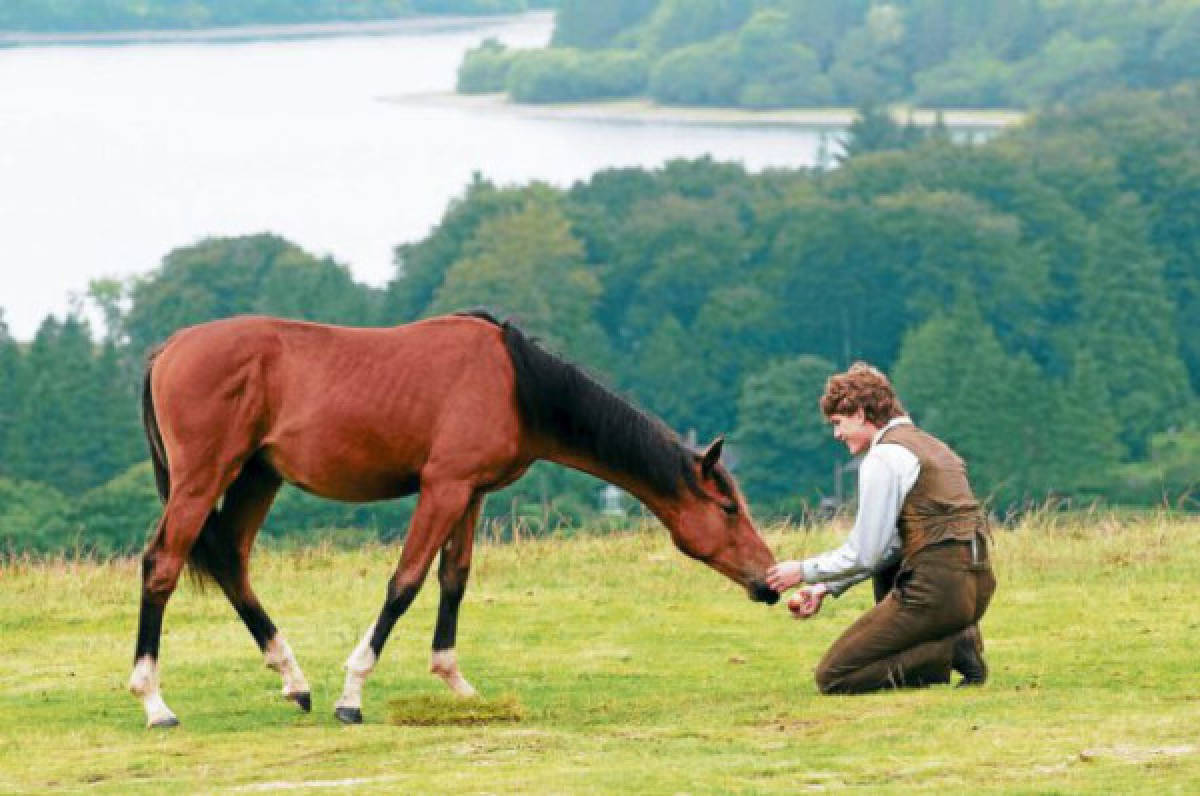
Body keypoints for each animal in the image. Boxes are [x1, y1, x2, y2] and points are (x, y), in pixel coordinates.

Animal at [129, 312, 777, 729]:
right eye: (728, 508)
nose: (770, 581)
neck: (513, 384)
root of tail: (169, 349)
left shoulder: (470, 493)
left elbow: (454, 580)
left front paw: (455, 682)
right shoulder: (442, 488)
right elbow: (405, 583)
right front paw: (353, 694)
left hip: (256, 477)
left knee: (232, 563)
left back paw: (294, 679)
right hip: (204, 478)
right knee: (162, 566)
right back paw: (154, 701)